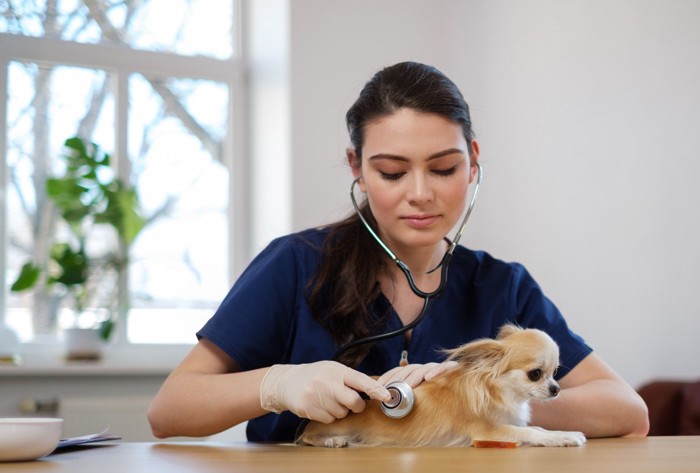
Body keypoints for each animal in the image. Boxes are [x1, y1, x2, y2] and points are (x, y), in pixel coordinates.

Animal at [300, 324, 584, 446]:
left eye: (555, 372)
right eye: (535, 374)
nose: (556, 389)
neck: (502, 393)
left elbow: (535, 427)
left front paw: (562, 432)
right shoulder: (489, 431)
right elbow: (531, 433)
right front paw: (565, 437)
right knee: (308, 437)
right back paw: (332, 440)